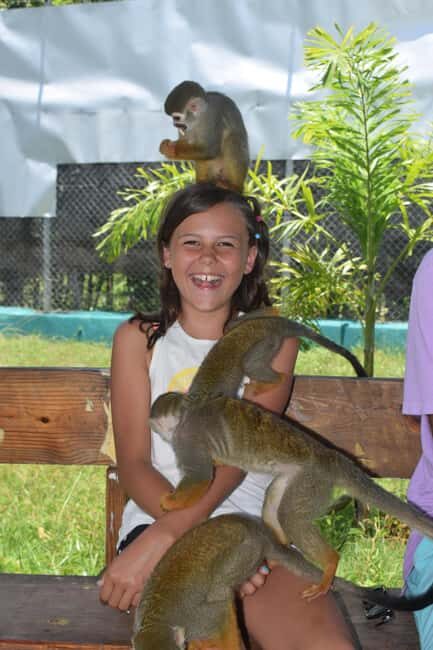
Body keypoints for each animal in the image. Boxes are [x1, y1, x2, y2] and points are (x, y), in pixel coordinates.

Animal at [132, 513, 433, 649]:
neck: (157, 618)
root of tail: (260, 532)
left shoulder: (201, 620)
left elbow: (219, 612)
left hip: (247, 550)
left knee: (221, 588)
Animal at [150, 392, 433, 601]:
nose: (157, 435)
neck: (187, 411)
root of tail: (331, 456)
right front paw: (218, 462)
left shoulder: (186, 438)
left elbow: (200, 478)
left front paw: (170, 502)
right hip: (296, 477)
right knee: (273, 501)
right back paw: (281, 545)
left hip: (313, 480)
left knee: (291, 516)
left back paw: (330, 564)